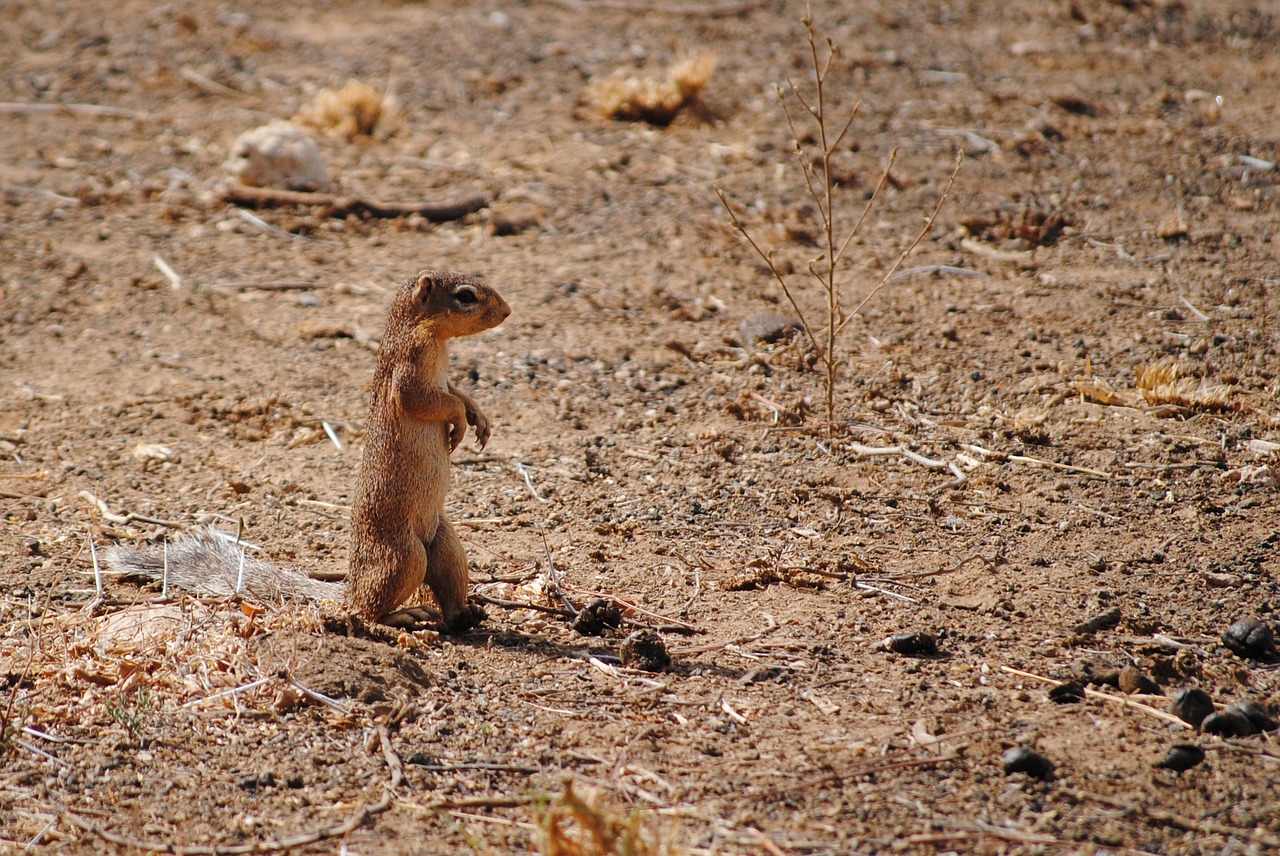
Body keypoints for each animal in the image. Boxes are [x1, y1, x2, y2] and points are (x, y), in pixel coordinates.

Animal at [104, 269, 512, 632]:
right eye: (466, 296)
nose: (508, 311)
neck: (428, 336)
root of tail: (350, 588)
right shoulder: (409, 368)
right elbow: (429, 400)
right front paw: (460, 422)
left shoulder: (442, 375)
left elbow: (457, 393)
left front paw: (479, 418)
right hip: (402, 559)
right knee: (366, 611)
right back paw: (399, 618)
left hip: (449, 549)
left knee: (447, 591)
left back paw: (466, 615)